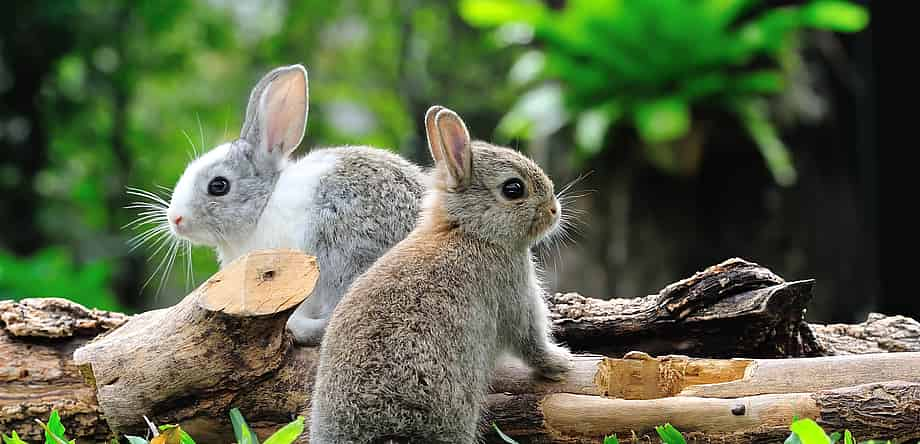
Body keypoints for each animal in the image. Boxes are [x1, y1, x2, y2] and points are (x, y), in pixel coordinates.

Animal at [310, 106, 572, 442]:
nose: (554, 210)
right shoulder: (515, 295)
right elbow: (531, 342)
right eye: (513, 189)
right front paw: (560, 363)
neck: (469, 231)